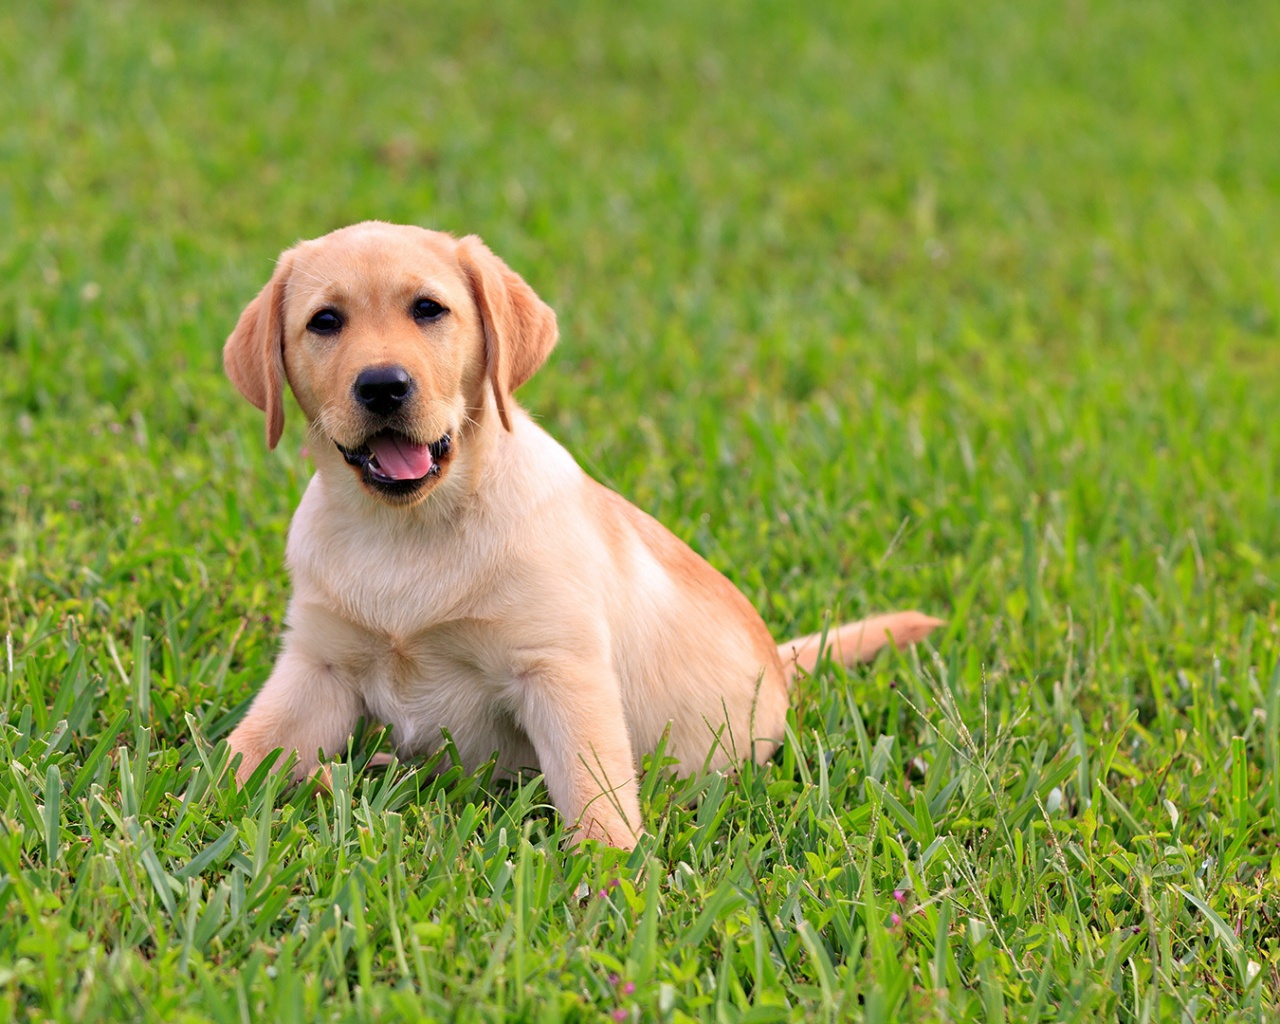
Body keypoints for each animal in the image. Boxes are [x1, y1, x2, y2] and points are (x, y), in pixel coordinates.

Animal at [222, 220, 942, 844]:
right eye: (325, 322)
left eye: (429, 310)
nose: (382, 386)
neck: (407, 530)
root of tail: (780, 665)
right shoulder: (317, 666)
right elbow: (238, 755)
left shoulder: (560, 671)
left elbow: (593, 791)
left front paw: (608, 880)